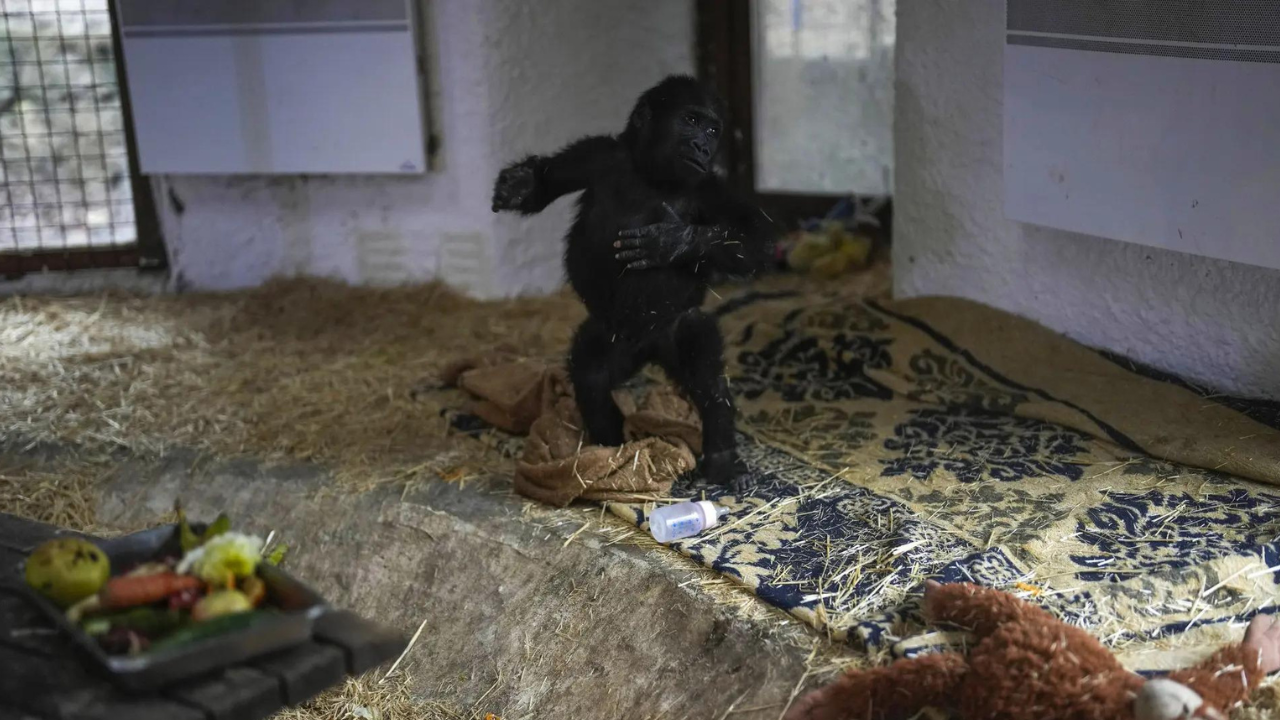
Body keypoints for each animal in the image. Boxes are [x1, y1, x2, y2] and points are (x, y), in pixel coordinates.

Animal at [491, 74, 773, 486]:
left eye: (712, 129)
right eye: (690, 120)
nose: (703, 146)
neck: (652, 174)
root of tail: (649, 348)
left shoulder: (711, 189)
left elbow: (755, 240)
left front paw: (673, 241)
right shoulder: (596, 154)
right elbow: (549, 181)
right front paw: (522, 184)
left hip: (674, 328)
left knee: (706, 375)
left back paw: (720, 457)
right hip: (613, 333)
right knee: (591, 373)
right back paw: (609, 450)